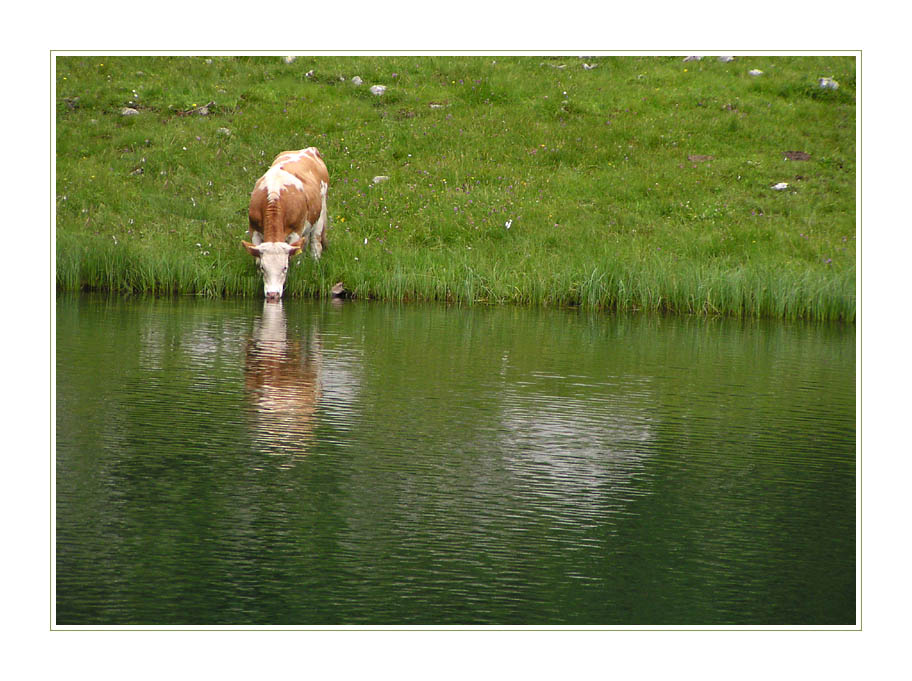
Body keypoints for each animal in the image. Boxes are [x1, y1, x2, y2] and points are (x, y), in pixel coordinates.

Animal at [244, 149, 330, 300]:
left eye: (284, 268)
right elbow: (257, 258)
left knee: (315, 243)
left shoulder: (295, 231)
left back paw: (315, 263)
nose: (272, 294)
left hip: (320, 214)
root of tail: (308, 149)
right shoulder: (254, 229)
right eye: (264, 268)